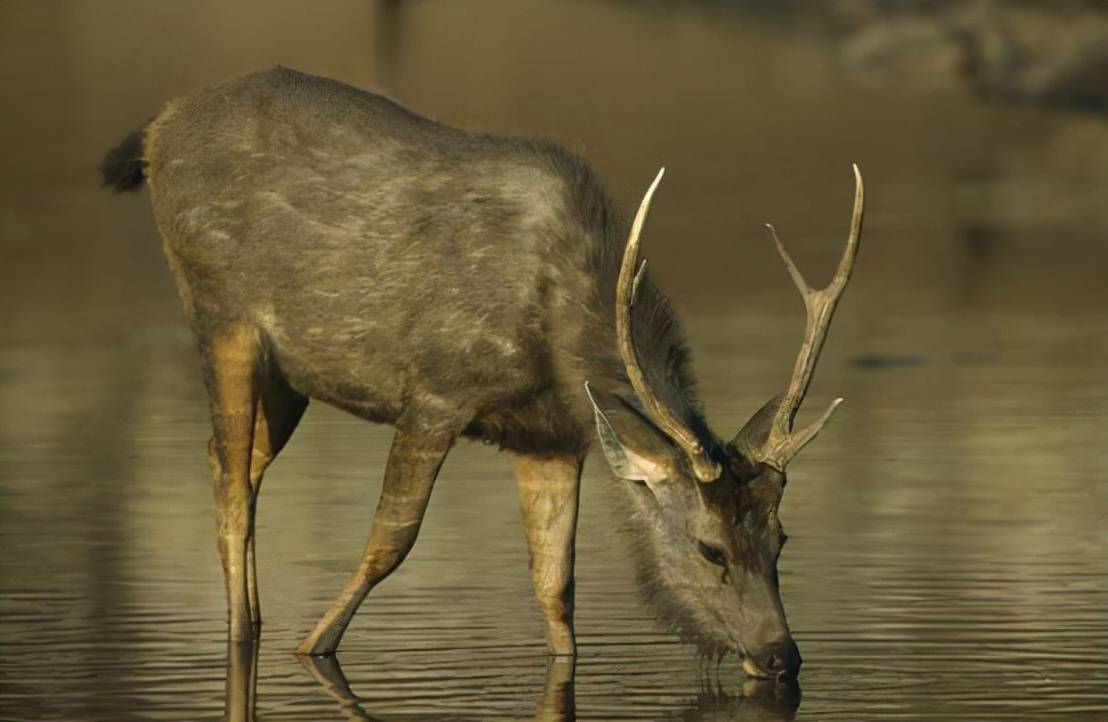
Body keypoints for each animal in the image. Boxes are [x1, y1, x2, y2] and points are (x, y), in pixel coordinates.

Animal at [101, 64, 864, 677]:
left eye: (781, 538)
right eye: (710, 549)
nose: (782, 655)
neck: (557, 332)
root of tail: (156, 127)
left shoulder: (549, 435)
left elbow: (556, 585)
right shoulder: (438, 389)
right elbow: (391, 541)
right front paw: (312, 647)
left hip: (291, 374)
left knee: (228, 460)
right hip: (219, 311)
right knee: (233, 479)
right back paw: (242, 635)